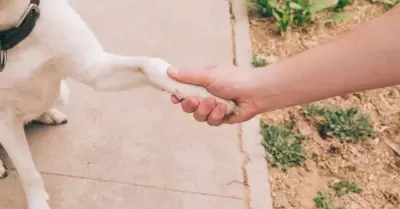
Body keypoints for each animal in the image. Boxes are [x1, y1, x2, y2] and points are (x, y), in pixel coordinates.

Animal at [0, 0, 238, 208]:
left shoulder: (95, 70)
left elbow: (150, 64)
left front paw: (207, 95)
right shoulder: (6, 122)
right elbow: (28, 172)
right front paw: (38, 202)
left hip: (63, 92)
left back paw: (48, 114)